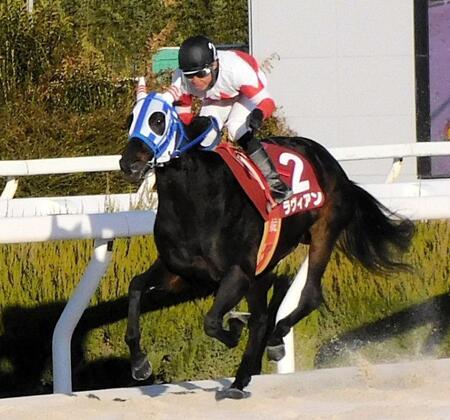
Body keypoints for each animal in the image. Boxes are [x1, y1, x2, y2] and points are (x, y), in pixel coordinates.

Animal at [118, 90, 412, 398]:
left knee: (308, 295)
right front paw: (139, 363)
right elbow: (136, 286)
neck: (194, 200)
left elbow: (212, 322)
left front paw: (234, 328)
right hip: (264, 265)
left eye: (158, 120)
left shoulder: (237, 273)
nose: (128, 163)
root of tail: (332, 164)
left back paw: (272, 341)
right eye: (131, 118)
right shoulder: (181, 272)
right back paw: (243, 375)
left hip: (322, 233)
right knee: (261, 317)